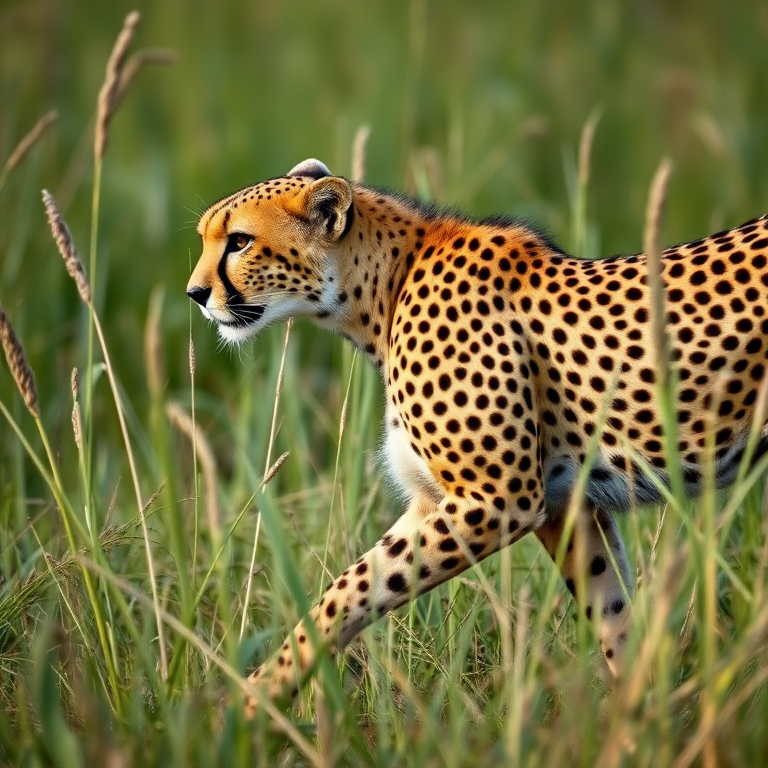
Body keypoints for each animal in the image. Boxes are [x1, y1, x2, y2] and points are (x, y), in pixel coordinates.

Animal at [187, 157, 768, 716]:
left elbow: (347, 590)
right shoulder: (559, 505)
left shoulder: (498, 501)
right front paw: (641, 716)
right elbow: (613, 613)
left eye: (238, 241)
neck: (383, 288)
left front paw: (251, 705)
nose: (195, 293)